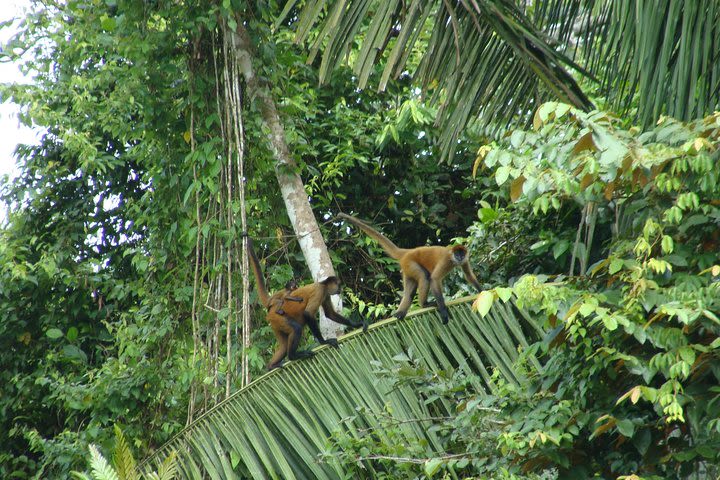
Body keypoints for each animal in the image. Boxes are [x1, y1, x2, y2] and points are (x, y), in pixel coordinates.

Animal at [338, 212, 484, 324]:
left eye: (462, 254)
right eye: (457, 254)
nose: (459, 257)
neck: (453, 259)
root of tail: (407, 252)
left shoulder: (465, 260)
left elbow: (469, 276)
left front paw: (483, 291)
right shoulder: (446, 260)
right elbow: (434, 279)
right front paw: (443, 311)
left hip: (407, 269)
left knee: (409, 292)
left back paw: (400, 313)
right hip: (410, 263)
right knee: (425, 277)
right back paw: (424, 305)